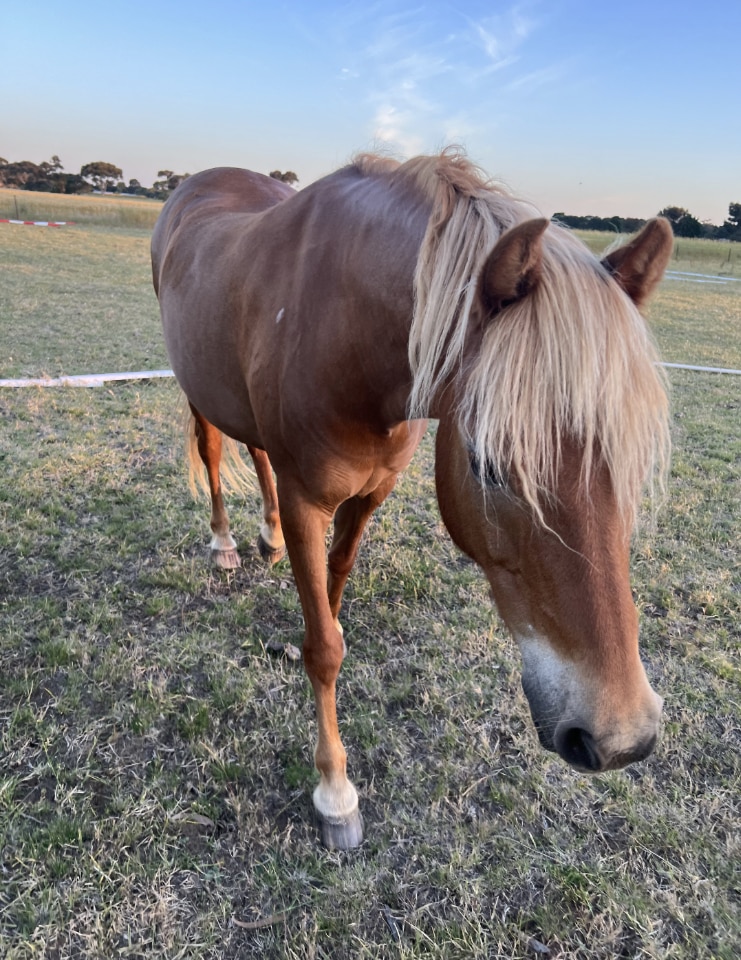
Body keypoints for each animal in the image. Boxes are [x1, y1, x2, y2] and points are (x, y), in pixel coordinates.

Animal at [151, 149, 673, 849]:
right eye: (488, 463)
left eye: (631, 463)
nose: (621, 736)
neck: (345, 329)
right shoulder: (307, 500)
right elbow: (327, 648)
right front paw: (335, 793)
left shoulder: (372, 493)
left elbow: (332, 593)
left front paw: (300, 633)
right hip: (198, 391)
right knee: (212, 450)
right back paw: (225, 543)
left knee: (255, 451)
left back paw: (266, 535)